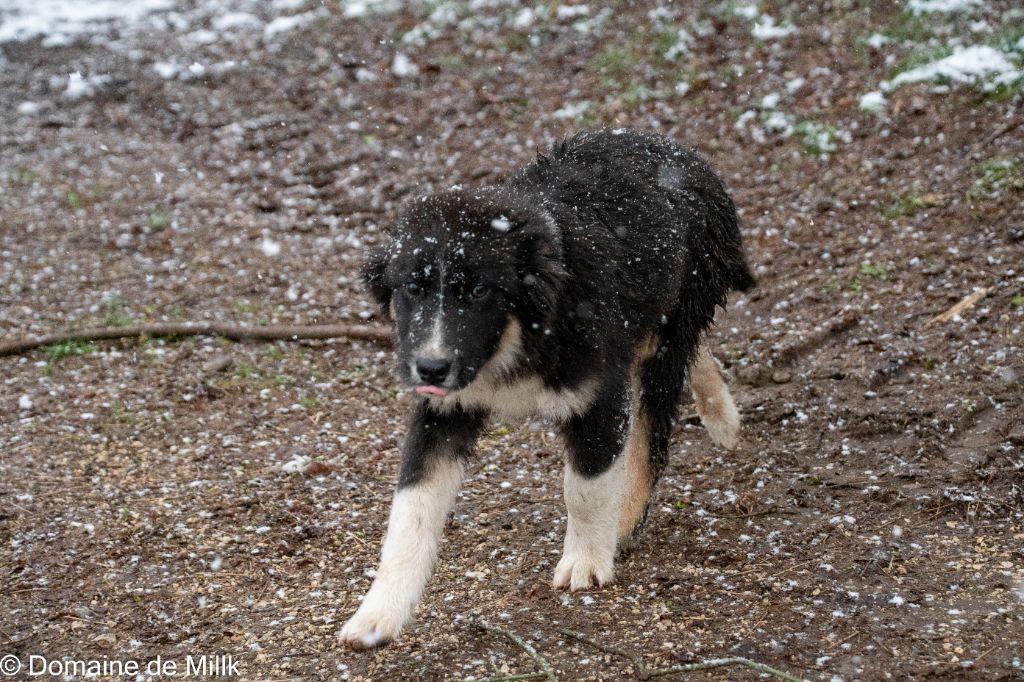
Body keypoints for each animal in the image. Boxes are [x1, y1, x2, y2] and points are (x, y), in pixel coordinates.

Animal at [340, 128, 755, 649]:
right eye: (412, 289)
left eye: (479, 291)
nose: (430, 368)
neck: (519, 339)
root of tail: (681, 152)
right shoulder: (443, 413)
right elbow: (410, 513)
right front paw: (378, 613)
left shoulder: (598, 395)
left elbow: (585, 487)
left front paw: (586, 561)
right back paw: (722, 416)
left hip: (668, 330)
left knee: (652, 436)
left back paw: (631, 512)